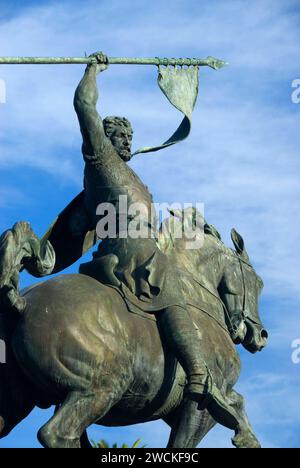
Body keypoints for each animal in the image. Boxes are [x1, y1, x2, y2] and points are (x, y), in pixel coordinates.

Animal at [0, 211, 268, 446]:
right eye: (258, 282)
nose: (259, 335)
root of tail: (24, 304)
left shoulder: (178, 406)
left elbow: (238, 401)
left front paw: (247, 438)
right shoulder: (202, 403)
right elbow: (185, 439)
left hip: (15, 401)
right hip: (100, 389)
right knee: (56, 434)